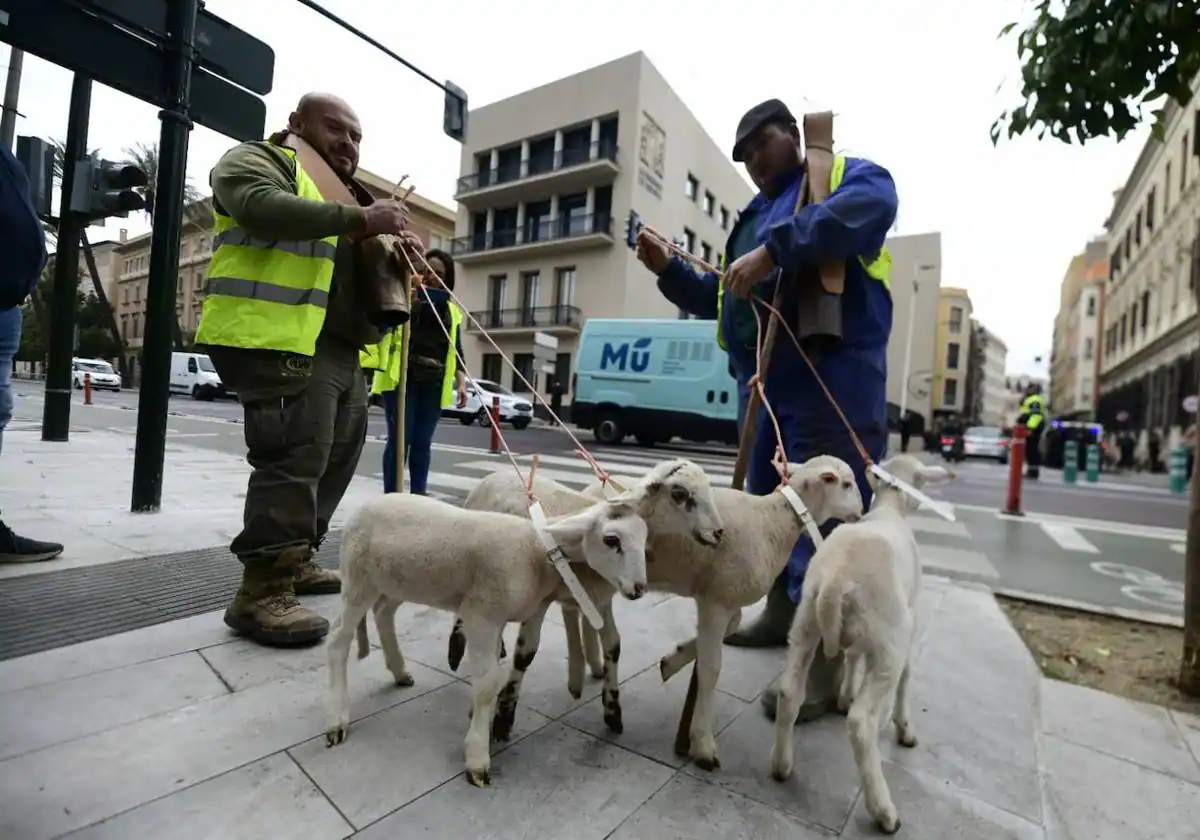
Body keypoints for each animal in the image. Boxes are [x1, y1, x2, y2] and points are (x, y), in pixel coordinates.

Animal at [324, 492, 652, 787]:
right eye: (612, 540)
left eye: (645, 540)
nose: (639, 589)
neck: (537, 553)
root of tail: (360, 509)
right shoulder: (481, 615)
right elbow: (486, 684)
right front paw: (478, 758)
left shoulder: (503, 617)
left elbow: (496, 670)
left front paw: (487, 721)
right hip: (358, 581)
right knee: (337, 640)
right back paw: (337, 720)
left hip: (397, 582)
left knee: (383, 613)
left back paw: (399, 671)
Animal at [441, 456, 720, 739]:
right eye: (679, 493)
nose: (718, 533)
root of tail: (495, 475)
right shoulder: (541, 601)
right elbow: (526, 654)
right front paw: (503, 718)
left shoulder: (601, 598)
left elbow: (613, 645)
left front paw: (613, 710)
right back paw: (457, 647)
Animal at [768, 456, 955, 835]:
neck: (890, 510)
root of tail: (836, 581)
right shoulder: (910, 620)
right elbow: (908, 676)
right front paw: (905, 729)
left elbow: (852, 656)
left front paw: (844, 694)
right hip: (890, 638)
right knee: (861, 722)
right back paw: (883, 811)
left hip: (806, 622)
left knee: (790, 692)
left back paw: (782, 766)